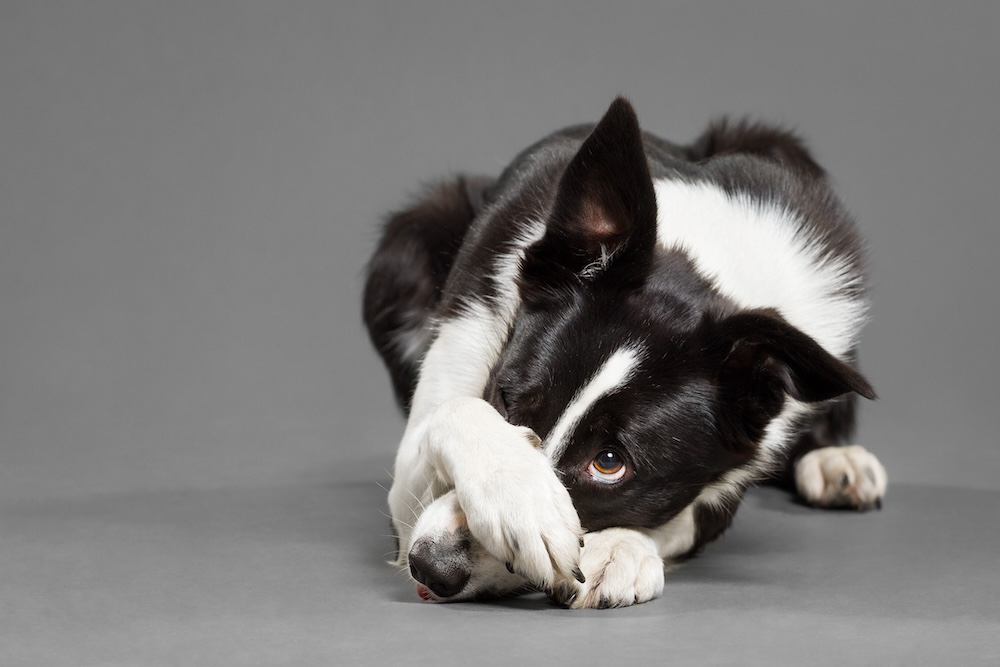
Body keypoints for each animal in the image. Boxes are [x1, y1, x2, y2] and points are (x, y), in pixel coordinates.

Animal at [364, 98, 888, 612]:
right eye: (507, 402)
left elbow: (680, 517)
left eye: (610, 463)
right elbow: (452, 412)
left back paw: (834, 458)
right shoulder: (407, 498)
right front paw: (523, 499)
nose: (430, 566)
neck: (705, 262)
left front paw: (619, 547)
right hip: (408, 241)